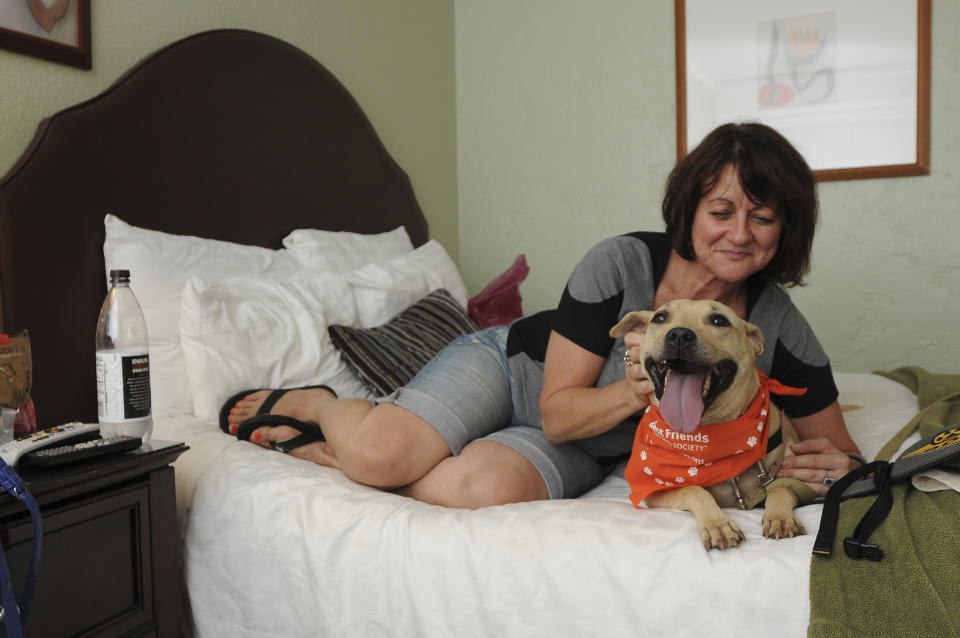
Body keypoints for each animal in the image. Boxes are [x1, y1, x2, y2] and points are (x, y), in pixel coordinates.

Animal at [612, 302, 812, 552]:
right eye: (659, 318)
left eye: (719, 321)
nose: (679, 335)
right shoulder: (655, 492)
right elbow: (693, 489)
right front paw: (718, 524)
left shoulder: (797, 480)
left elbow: (780, 488)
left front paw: (780, 517)